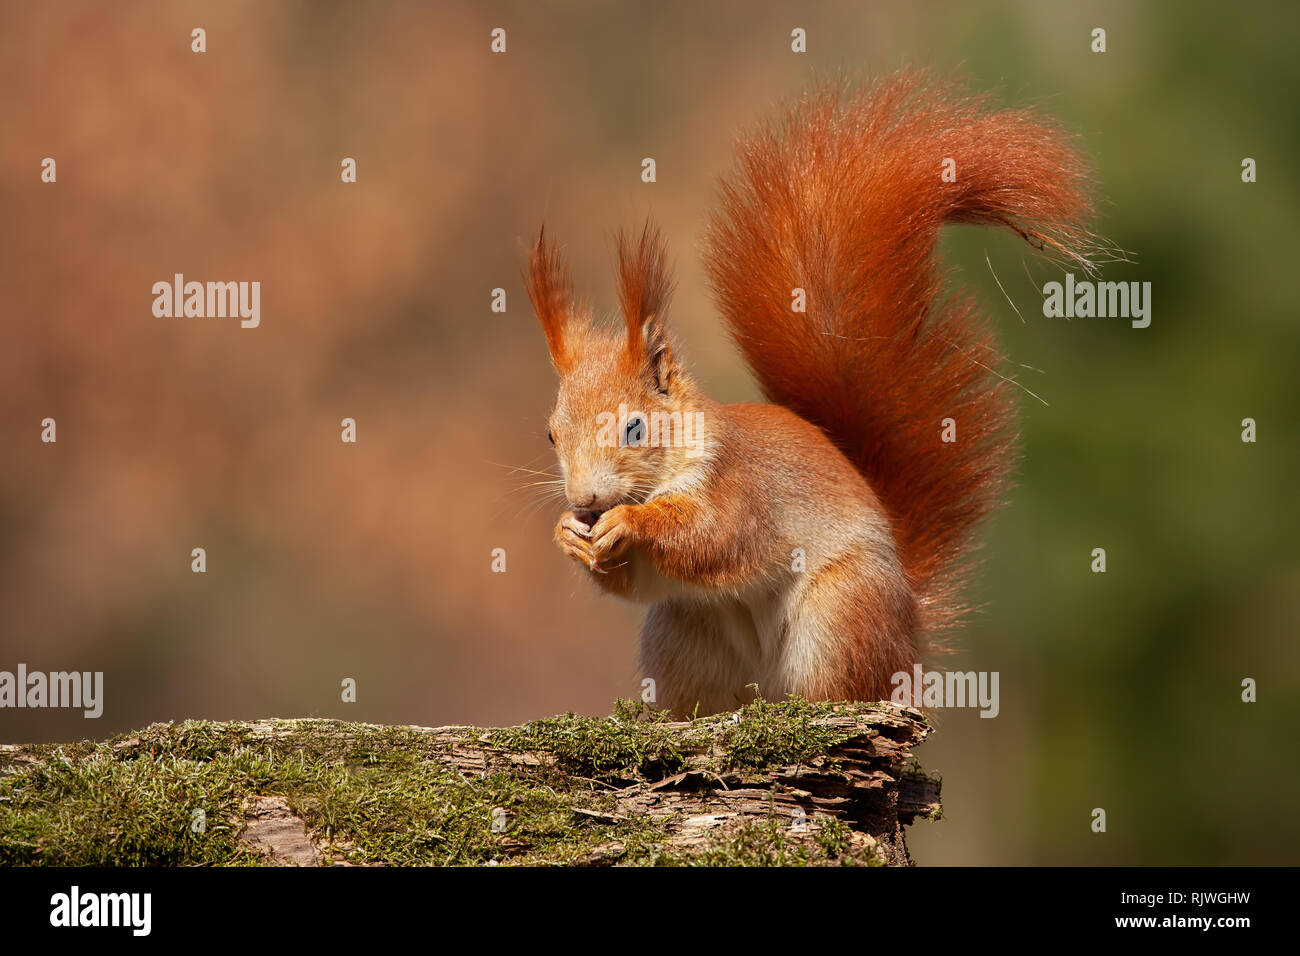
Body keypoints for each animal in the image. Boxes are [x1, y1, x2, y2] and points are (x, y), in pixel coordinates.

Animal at [522, 74, 1092, 712]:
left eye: (635, 427)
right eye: (551, 434)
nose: (586, 500)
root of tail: (908, 630)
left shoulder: (743, 487)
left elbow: (714, 537)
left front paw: (629, 522)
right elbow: (634, 582)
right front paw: (569, 535)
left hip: (839, 613)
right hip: (682, 635)